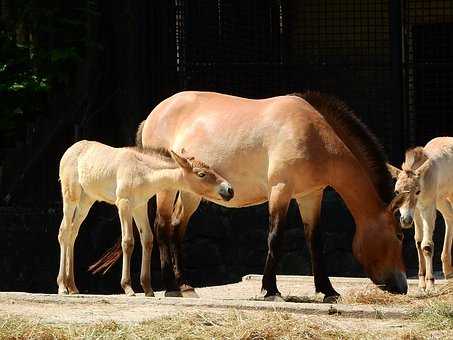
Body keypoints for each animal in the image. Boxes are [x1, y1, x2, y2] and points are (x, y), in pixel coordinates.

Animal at [56, 139, 233, 296]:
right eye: (201, 174)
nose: (229, 190)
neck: (142, 172)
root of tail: (70, 150)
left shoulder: (140, 207)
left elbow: (147, 240)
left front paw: (148, 288)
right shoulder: (124, 204)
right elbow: (128, 242)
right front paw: (127, 287)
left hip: (86, 201)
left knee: (73, 233)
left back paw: (72, 287)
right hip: (71, 197)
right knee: (64, 232)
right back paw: (62, 286)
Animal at [89, 90, 406, 300]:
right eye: (399, 235)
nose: (402, 285)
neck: (312, 133)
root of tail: (154, 114)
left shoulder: (310, 195)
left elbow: (315, 242)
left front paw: (327, 290)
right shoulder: (281, 191)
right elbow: (275, 239)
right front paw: (270, 289)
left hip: (192, 194)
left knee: (177, 227)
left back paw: (185, 285)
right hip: (167, 188)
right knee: (163, 227)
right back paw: (170, 286)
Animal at [384, 137, 452, 288]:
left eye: (417, 191)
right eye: (396, 192)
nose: (405, 221)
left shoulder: (427, 208)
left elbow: (426, 245)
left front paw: (430, 282)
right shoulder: (415, 212)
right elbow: (418, 241)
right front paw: (421, 283)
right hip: (441, 199)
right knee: (450, 217)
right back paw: (448, 271)